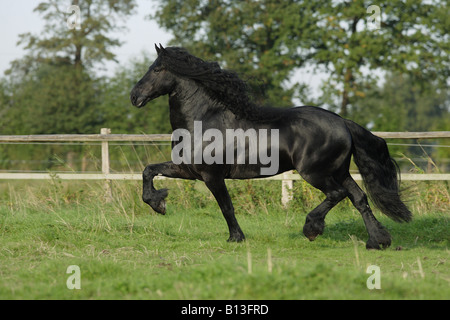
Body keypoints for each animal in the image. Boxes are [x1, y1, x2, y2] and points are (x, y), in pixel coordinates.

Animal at [130, 44, 412, 250]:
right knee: (359, 199)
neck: (203, 121)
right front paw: (157, 203)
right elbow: (148, 170)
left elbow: (226, 206)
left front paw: (236, 238)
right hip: (339, 171)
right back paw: (377, 241)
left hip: (316, 173)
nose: (134, 96)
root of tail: (343, 121)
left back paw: (312, 229)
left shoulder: (212, 176)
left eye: (157, 69)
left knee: (338, 194)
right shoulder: (187, 170)